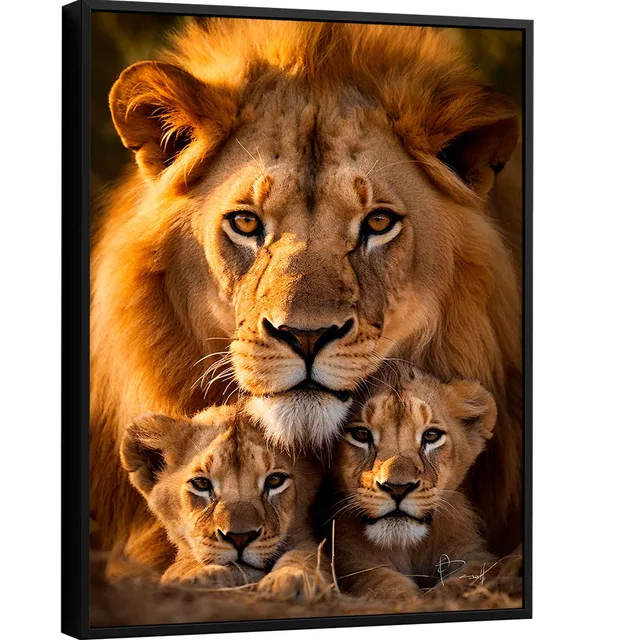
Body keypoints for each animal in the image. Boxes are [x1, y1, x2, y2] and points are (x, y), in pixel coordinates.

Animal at [120, 404, 330, 599]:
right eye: (201, 483)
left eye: (274, 480)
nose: (240, 537)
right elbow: (181, 564)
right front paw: (200, 576)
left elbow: (308, 555)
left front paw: (293, 578)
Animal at [332, 367, 497, 598]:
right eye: (361, 434)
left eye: (431, 435)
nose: (397, 488)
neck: (407, 547)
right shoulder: (350, 559)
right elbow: (380, 581)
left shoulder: (473, 553)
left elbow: (468, 579)